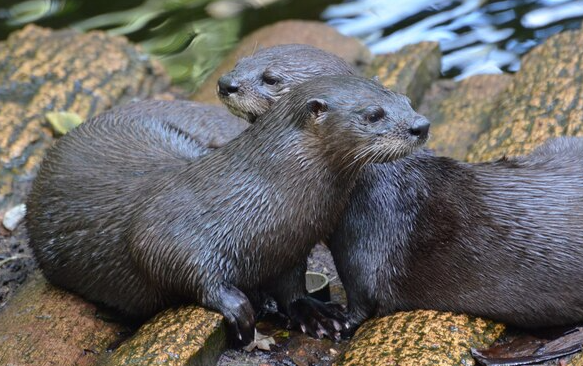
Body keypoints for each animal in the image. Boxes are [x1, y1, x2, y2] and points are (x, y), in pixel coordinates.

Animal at [26, 76, 428, 344]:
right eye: (373, 114)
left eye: (406, 99)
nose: (420, 125)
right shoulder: (169, 226)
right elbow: (171, 259)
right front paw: (238, 308)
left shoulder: (288, 248)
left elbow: (291, 286)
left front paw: (314, 313)